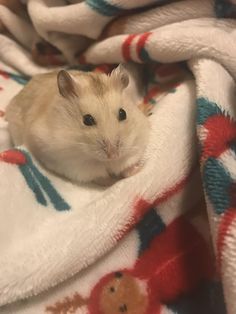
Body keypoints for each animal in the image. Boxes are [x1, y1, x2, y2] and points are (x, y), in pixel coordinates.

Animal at [6, 64, 149, 185]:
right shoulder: (75, 166)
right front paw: (112, 181)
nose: (113, 155)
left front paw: (137, 169)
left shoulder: (135, 144)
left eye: (123, 113)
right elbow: (100, 176)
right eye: (87, 120)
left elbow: (127, 166)